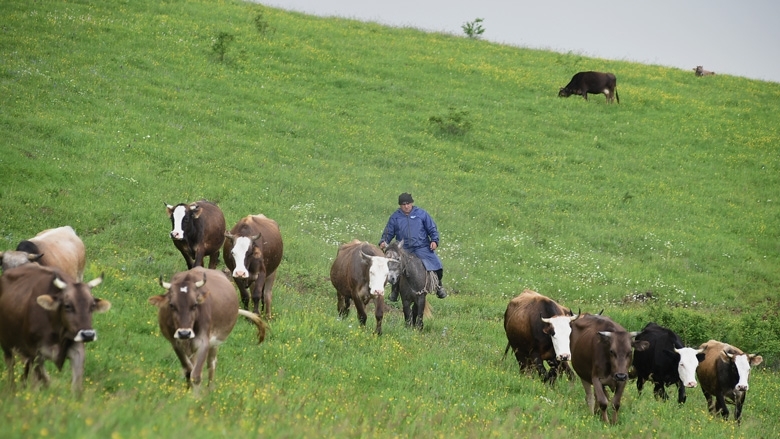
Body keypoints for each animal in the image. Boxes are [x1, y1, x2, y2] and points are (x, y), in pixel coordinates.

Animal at [0, 262, 109, 394]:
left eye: (92, 305)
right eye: (67, 305)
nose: (88, 335)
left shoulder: (77, 350)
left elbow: (76, 385)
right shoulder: (35, 352)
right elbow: (45, 380)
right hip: (6, 344)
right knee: (11, 365)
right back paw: (13, 390)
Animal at [149, 266, 268, 394]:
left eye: (195, 305)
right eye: (171, 305)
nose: (184, 333)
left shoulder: (204, 341)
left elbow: (196, 375)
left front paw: (195, 396)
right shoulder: (176, 343)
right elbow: (188, 370)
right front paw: (188, 392)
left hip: (215, 343)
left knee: (211, 363)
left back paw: (210, 389)